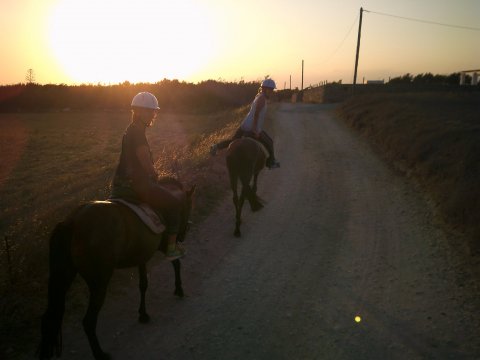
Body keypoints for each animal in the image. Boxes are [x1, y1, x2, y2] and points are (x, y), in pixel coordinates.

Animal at [37, 178, 195, 360]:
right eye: (189, 206)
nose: (183, 235)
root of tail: (72, 222)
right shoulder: (162, 245)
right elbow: (176, 263)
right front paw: (179, 289)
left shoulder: (142, 256)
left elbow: (143, 284)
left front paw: (143, 314)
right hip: (99, 282)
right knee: (88, 321)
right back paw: (100, 354)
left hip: (64, 276)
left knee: (48, 320)